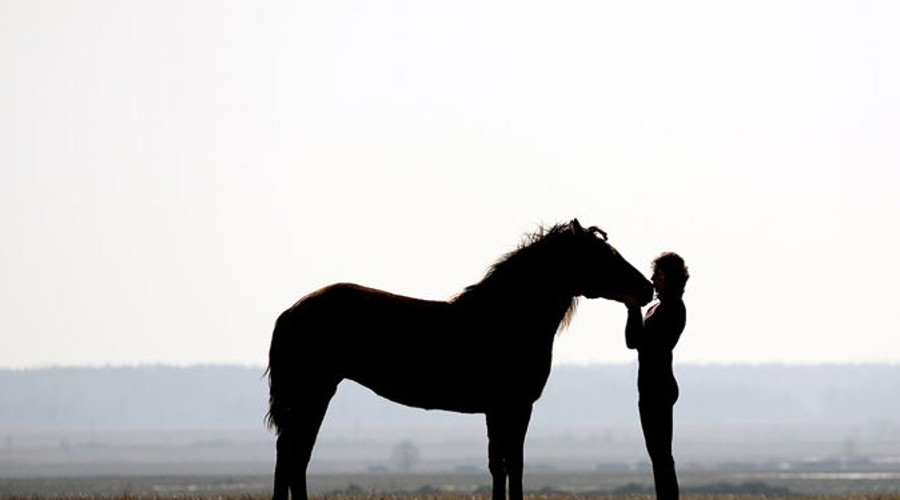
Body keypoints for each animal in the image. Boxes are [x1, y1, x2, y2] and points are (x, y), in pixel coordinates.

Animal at [266, 219, 653, 500]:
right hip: (313, 394)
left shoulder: (497, 410)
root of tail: (291, 311)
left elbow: (498, 464)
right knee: (293, 453)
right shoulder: (514, 407)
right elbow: (513, 463)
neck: (508, 317)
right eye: (605, 255)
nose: (647, 288)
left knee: (293, 455)